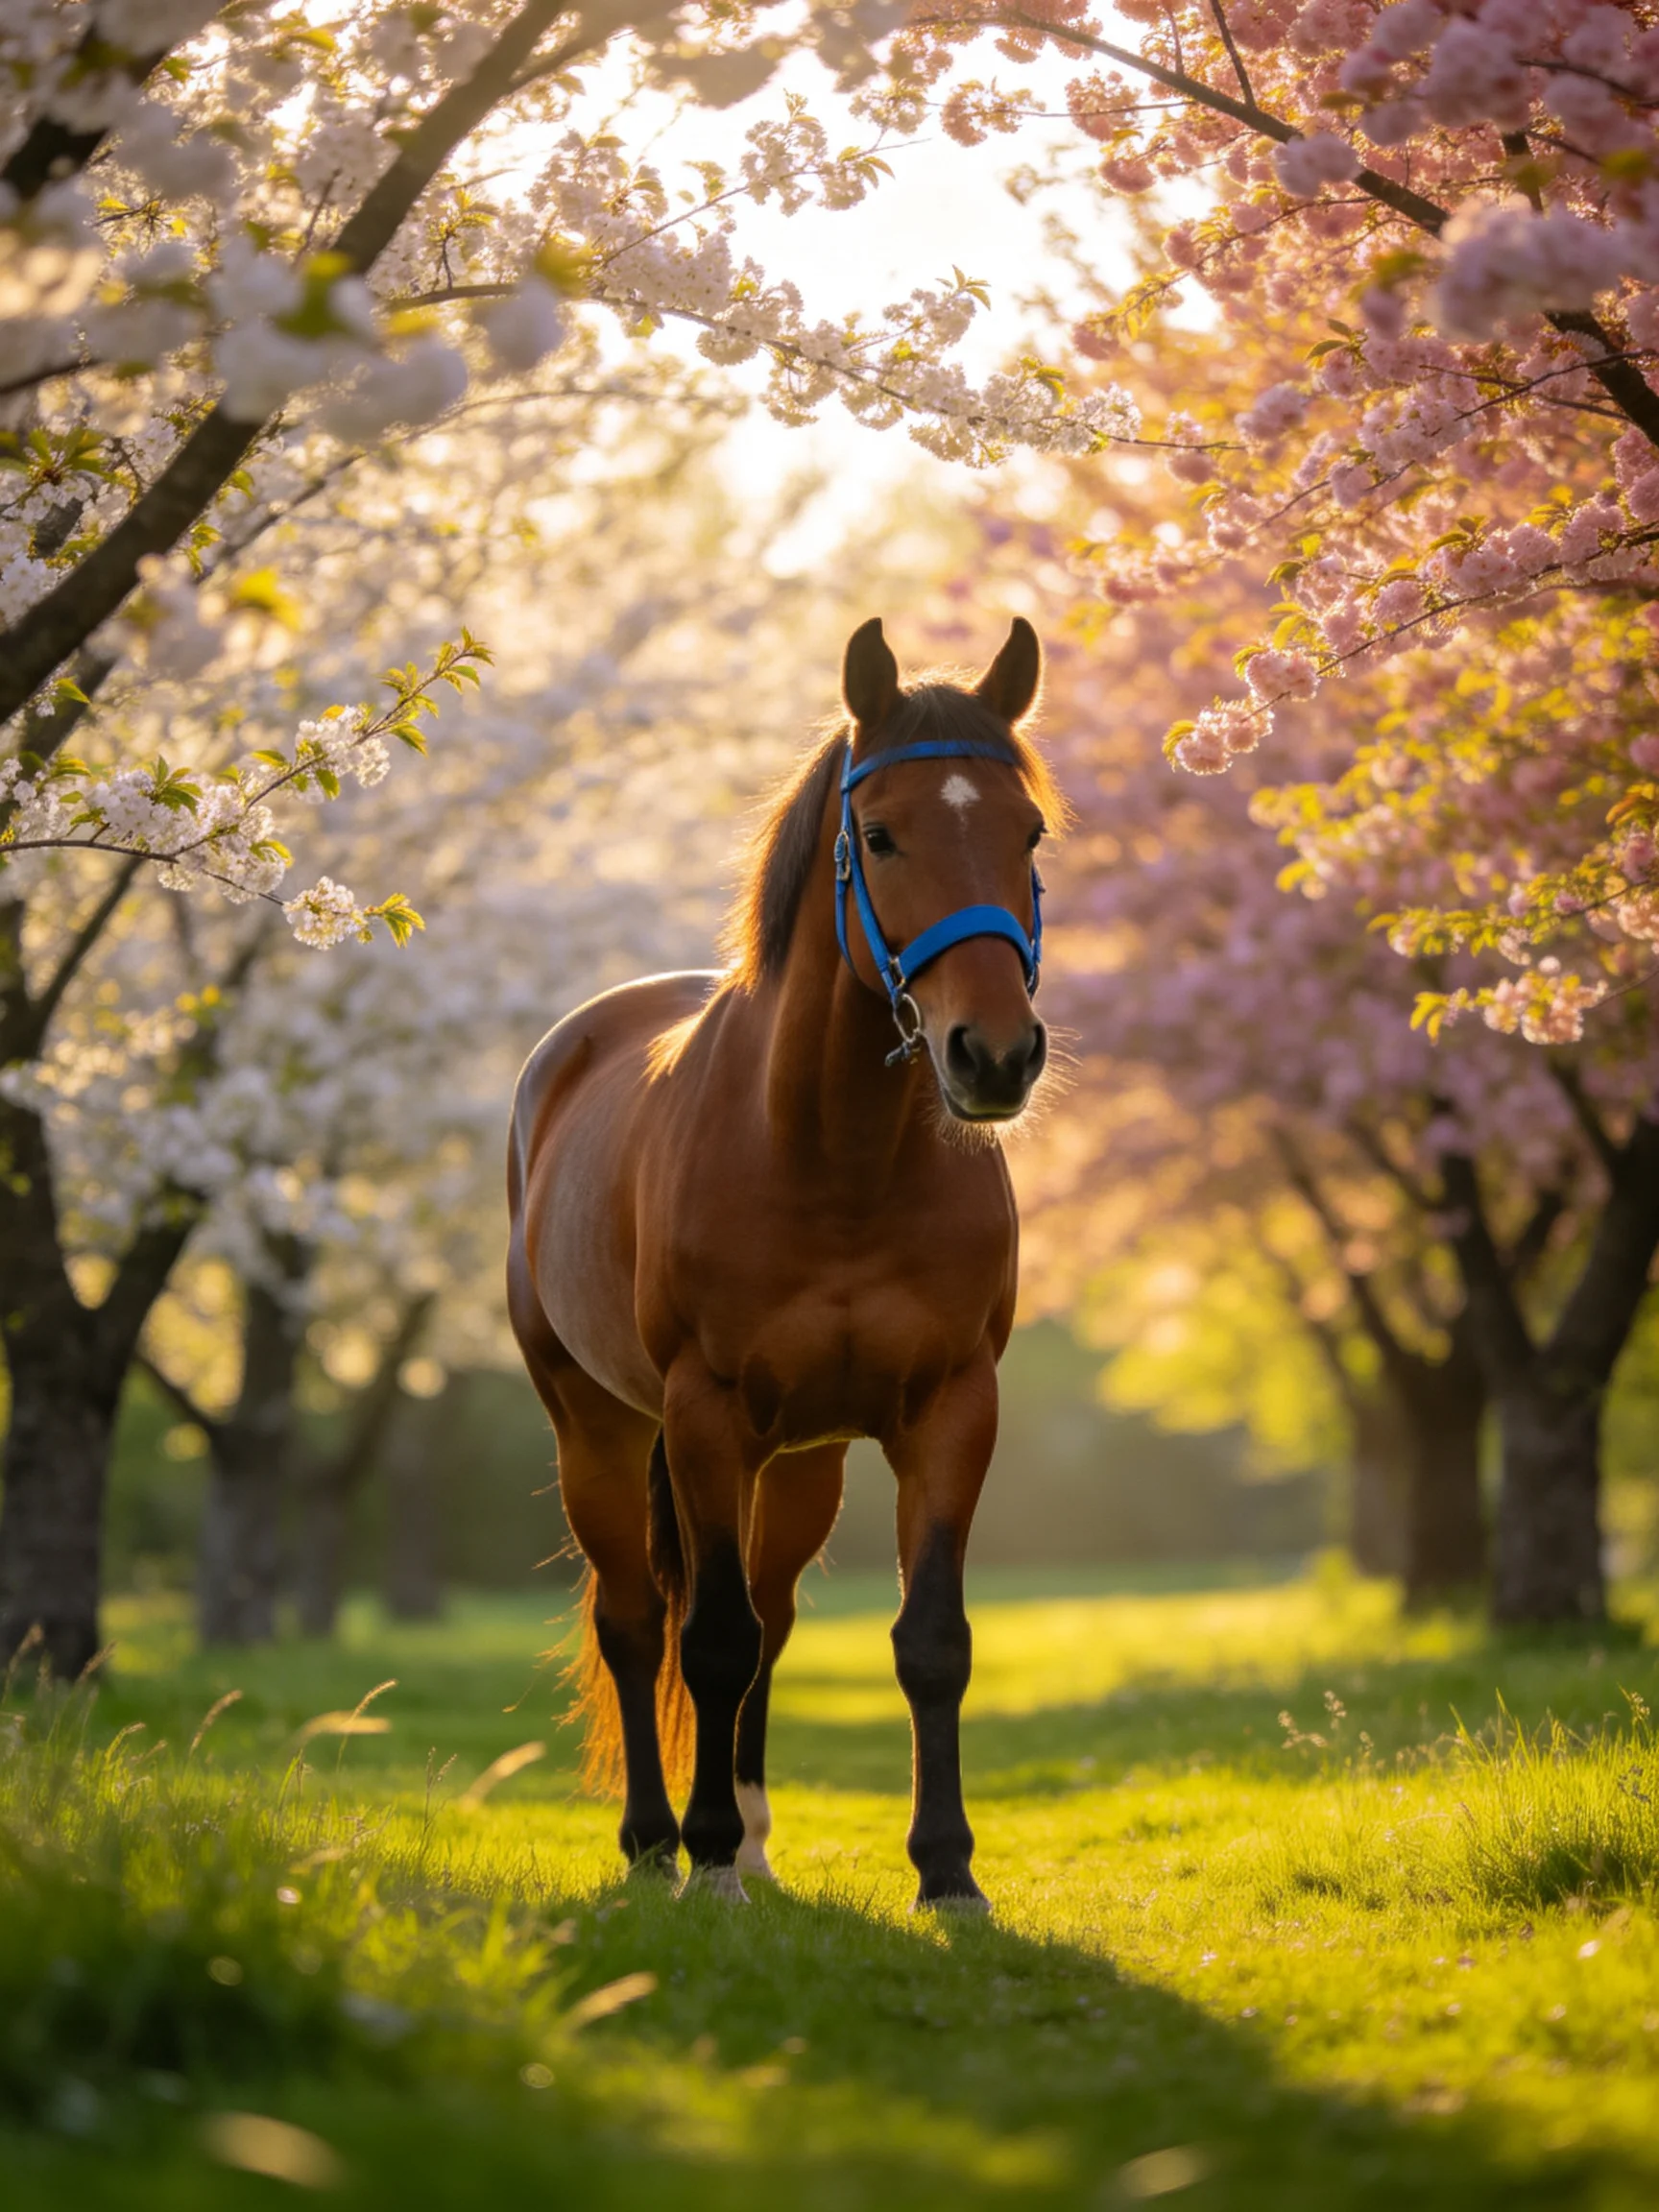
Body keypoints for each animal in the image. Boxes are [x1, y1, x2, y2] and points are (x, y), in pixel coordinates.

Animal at [506, 615, 1061, 1910]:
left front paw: (946, 1869)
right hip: (598, 1429)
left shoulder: (951, 1411)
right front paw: (707, 1855)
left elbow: (929, 1641)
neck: (832, 1156)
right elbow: (706, 1641)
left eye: (1029, 832)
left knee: (768, 1613)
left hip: (800, 1461)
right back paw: (659, 1843)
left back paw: (753, 1835)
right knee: (637, 1622)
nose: (995, 1056)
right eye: (881, 833)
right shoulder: (705, 1413)